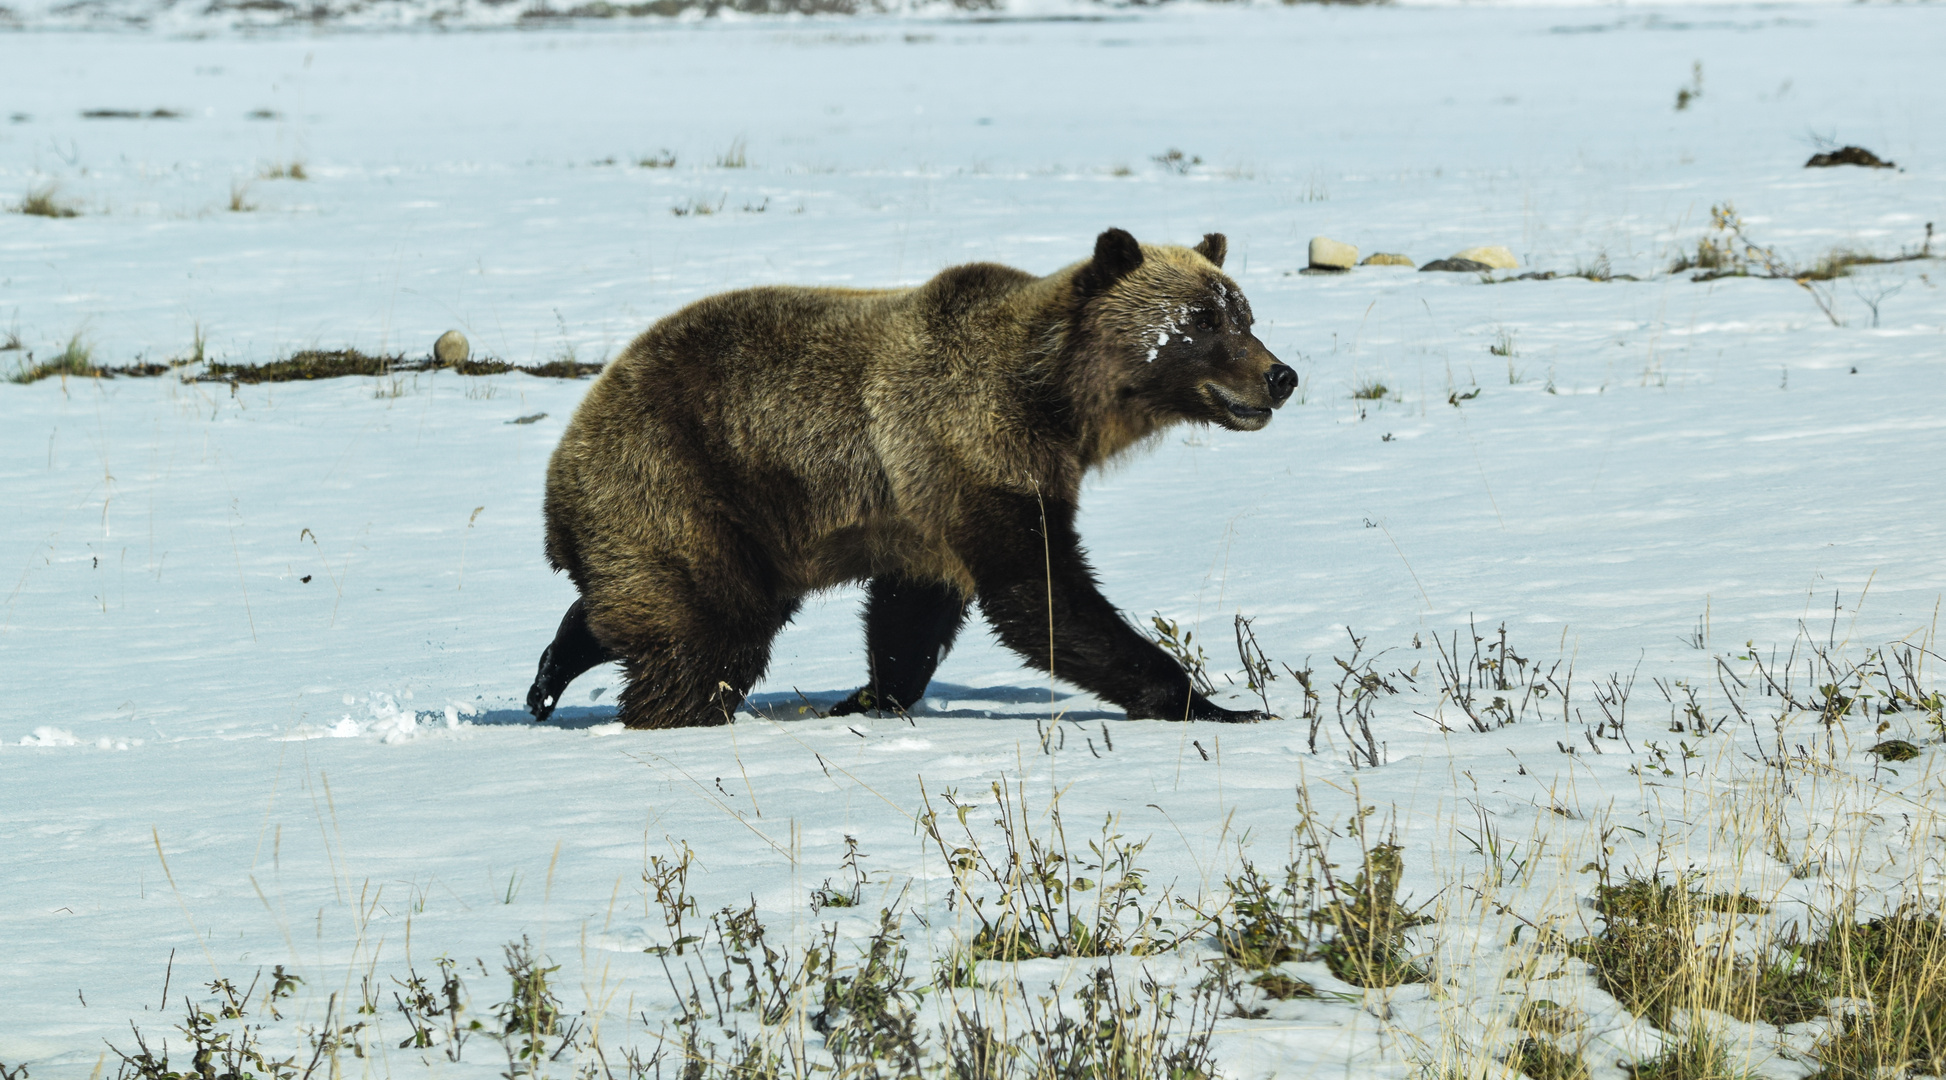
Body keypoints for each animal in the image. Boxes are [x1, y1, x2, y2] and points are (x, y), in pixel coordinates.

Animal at [525, 231, 1299, 731]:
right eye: (1203, 322)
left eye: (1244, 313)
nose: (1280, 375)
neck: (1056, 400)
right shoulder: (976, 452)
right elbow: (1040, 593)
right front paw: (1216, 703)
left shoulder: (927, 509)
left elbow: (912, 614)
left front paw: (868, 697)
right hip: (682, 485)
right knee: (709, 631)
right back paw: (670, 715)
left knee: (656, 608)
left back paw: (549, 676)